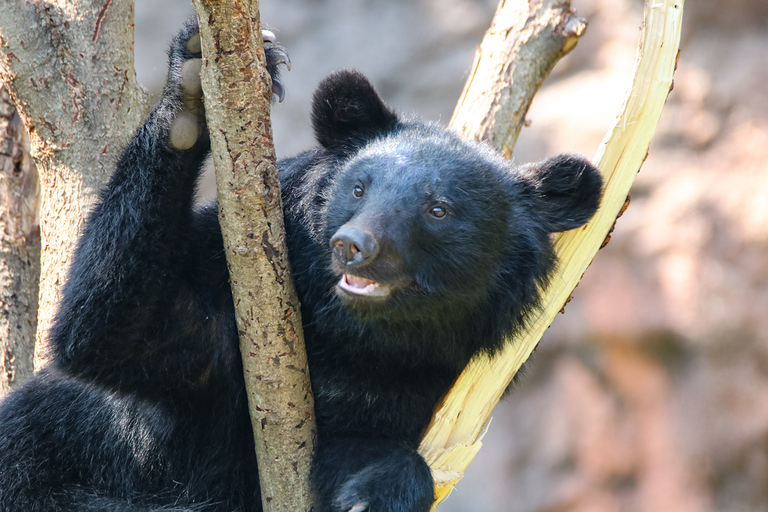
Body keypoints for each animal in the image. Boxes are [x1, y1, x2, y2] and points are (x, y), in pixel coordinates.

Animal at [0, 18, 604, 512]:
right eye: (358, 188)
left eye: (438, 210)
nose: (353, 244)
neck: (358, 336)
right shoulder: (218, 294)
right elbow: (110, 330)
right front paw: (191, 82)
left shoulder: (425, 381)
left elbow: (357, 445)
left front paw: (375, 496)